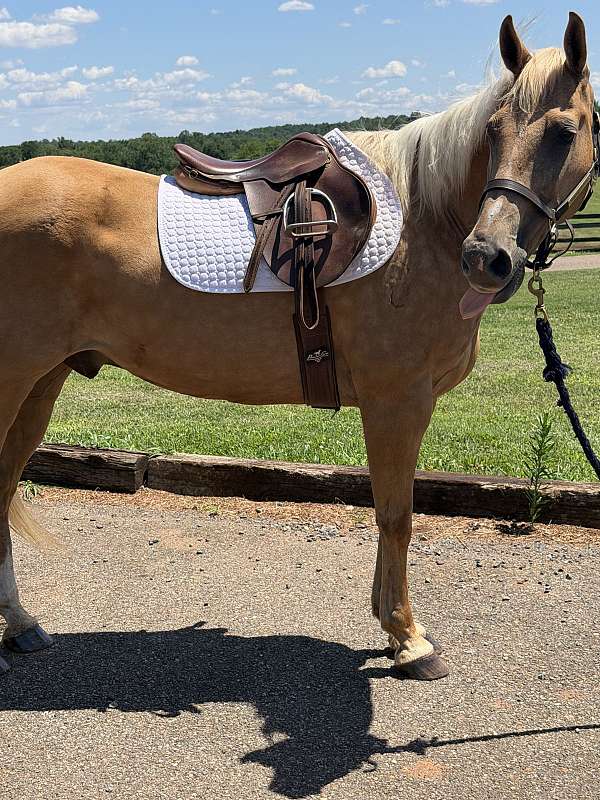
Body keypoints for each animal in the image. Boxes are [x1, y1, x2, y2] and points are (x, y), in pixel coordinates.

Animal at [0, 12, 596, 680]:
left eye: (565, 132)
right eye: (493, 131)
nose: (486, 256)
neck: (427, 227)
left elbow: (386, 509)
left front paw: (387, 621)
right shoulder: (399, 401)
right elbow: (397, 514)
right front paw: (409, 638)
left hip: (40, 384)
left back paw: (21, 625)